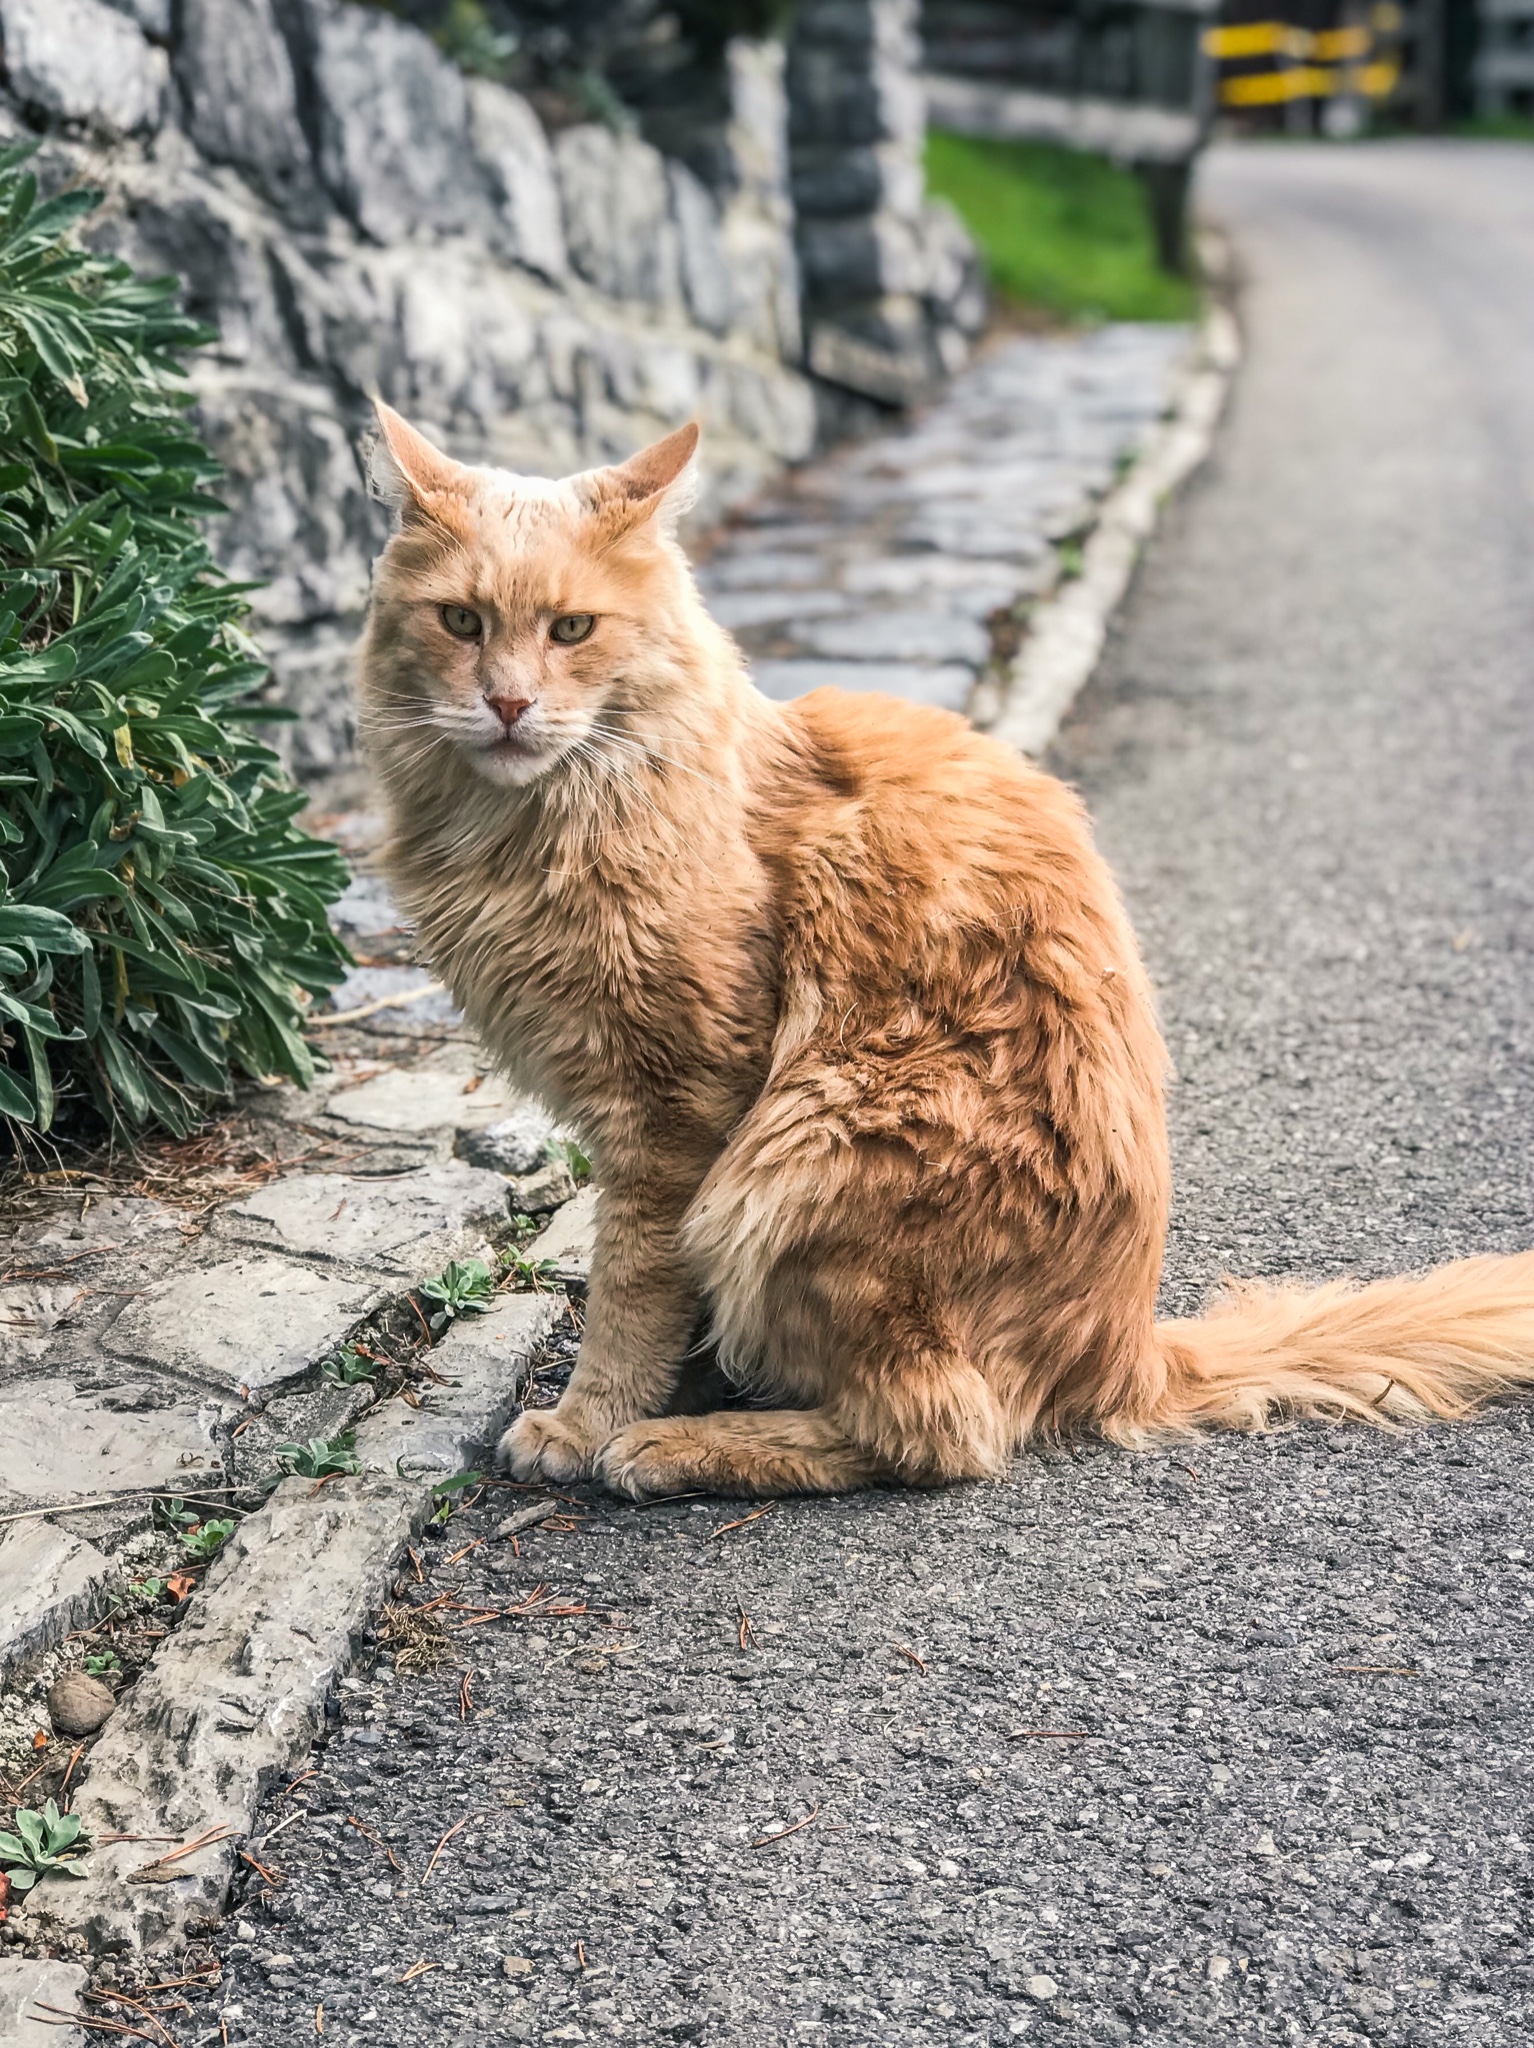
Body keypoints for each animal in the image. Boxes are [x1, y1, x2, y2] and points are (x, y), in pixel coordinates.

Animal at [358, 407, 1531, 1499]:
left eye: (572, 628)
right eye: (461, 621)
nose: (508, 702)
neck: (527, 832)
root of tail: (1126, 1351)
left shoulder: (677, 1111)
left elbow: (627, 1291)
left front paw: (591, 1418)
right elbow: (661, 1303)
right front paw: (672, 1381)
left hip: (810, 1153)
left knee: (941, 1435)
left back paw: (686, 1447)